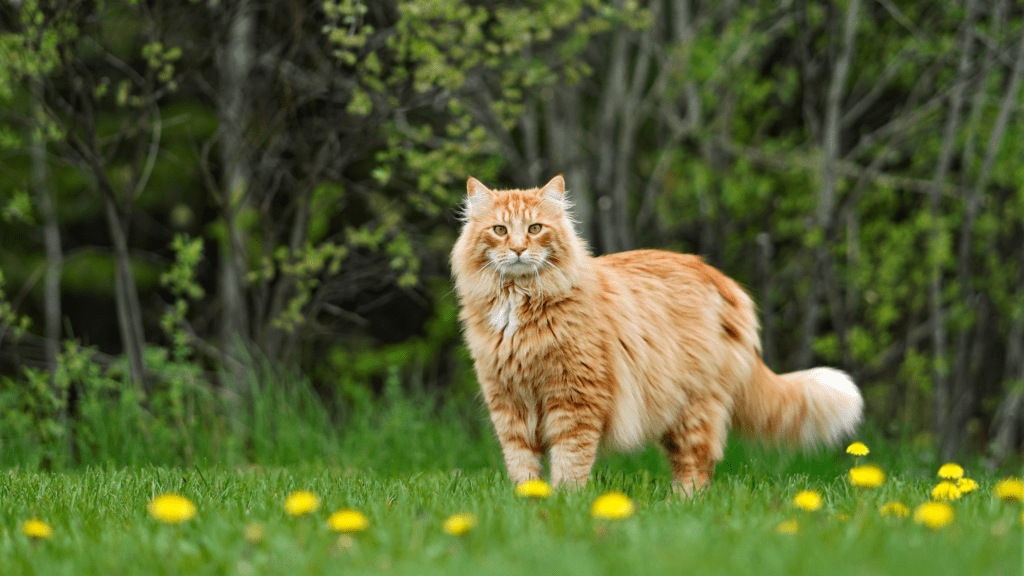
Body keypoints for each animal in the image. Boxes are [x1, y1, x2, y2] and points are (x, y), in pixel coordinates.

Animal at [452, 172, 860, 491]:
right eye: (500, 230)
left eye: (535, 229)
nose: (519, 249)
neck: (519, 305)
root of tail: (722, 280)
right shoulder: (508, 403)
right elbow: (522, 465)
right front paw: (530, 501)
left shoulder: (575, 400)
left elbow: (570, 463)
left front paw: (565, 503)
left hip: (692, 406)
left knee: (697, 466)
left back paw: (681, 507)